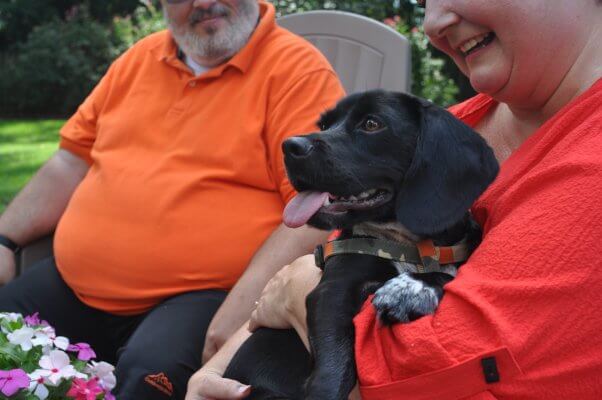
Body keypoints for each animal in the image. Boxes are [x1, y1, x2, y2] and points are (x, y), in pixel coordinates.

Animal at [223, 90, 494, 400]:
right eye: (324, 125)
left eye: (372, 124)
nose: (290, 146)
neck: (409, 245)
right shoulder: (331, 291)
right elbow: (333, 369)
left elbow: (447, 275)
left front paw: (411, 288)